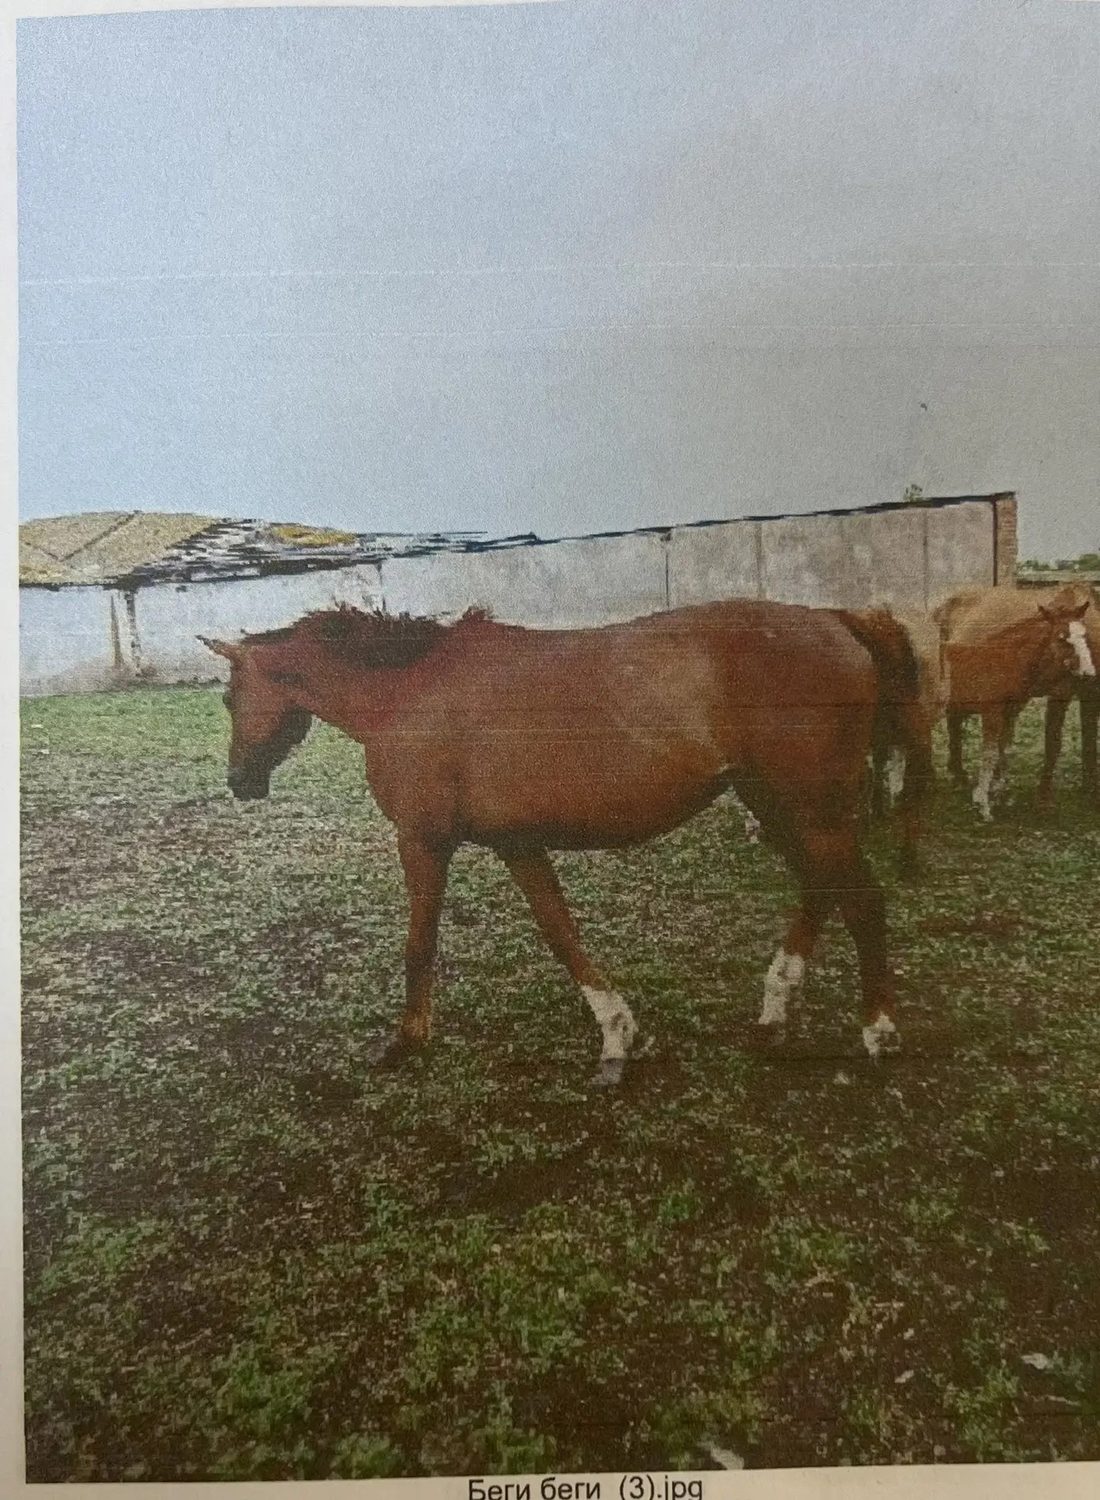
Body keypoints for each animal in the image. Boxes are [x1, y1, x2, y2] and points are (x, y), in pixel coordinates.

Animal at [201, 599, 929, 1085]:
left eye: (230, 700)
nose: (239, 782)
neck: (408, 691)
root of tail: (838, 619)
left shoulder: (424, 841)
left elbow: (420, 945)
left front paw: (407, 1041)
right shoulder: (518, 845)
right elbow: (560, 931)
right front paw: (616, 1035)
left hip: (810, 809)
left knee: (862, 901)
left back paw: (878, 1031)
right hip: (781, 807)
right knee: (824, 890)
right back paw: (775, 1011)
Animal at [933, 583, 1097, 819]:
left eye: (1085, 635)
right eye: (1061, 637)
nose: (1088, 672)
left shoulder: (1012, 710)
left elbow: (1004, 747)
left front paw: (1000, 794)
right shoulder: (995, 710)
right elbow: (994, 752)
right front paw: (984, 804)